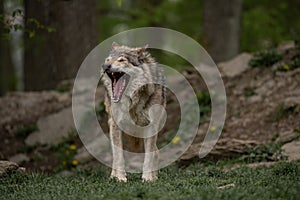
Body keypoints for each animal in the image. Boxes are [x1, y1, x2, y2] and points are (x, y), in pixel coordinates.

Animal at [101, 42, 166, 183]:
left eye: (121, 60)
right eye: (108, 60)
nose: (105, 66)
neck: (133, 102)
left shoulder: (151, 126)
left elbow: (148, 157)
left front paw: (147, 178)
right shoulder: (116, 126)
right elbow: (119, 156)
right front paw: (120, 178)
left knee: (156, 151)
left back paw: (155, 176)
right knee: (114, 154)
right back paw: (112, 176)